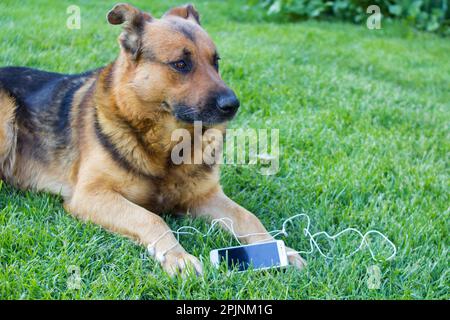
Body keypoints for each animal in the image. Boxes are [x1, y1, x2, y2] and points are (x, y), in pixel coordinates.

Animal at [0, 3, 306, 276]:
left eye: (215, 62)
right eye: (181, 64)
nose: (233, 105)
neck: (167, 146)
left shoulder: (205, 196)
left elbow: (247, 216)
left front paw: (279, 248)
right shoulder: (91, 195)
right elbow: (151, 217)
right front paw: (178, 256)